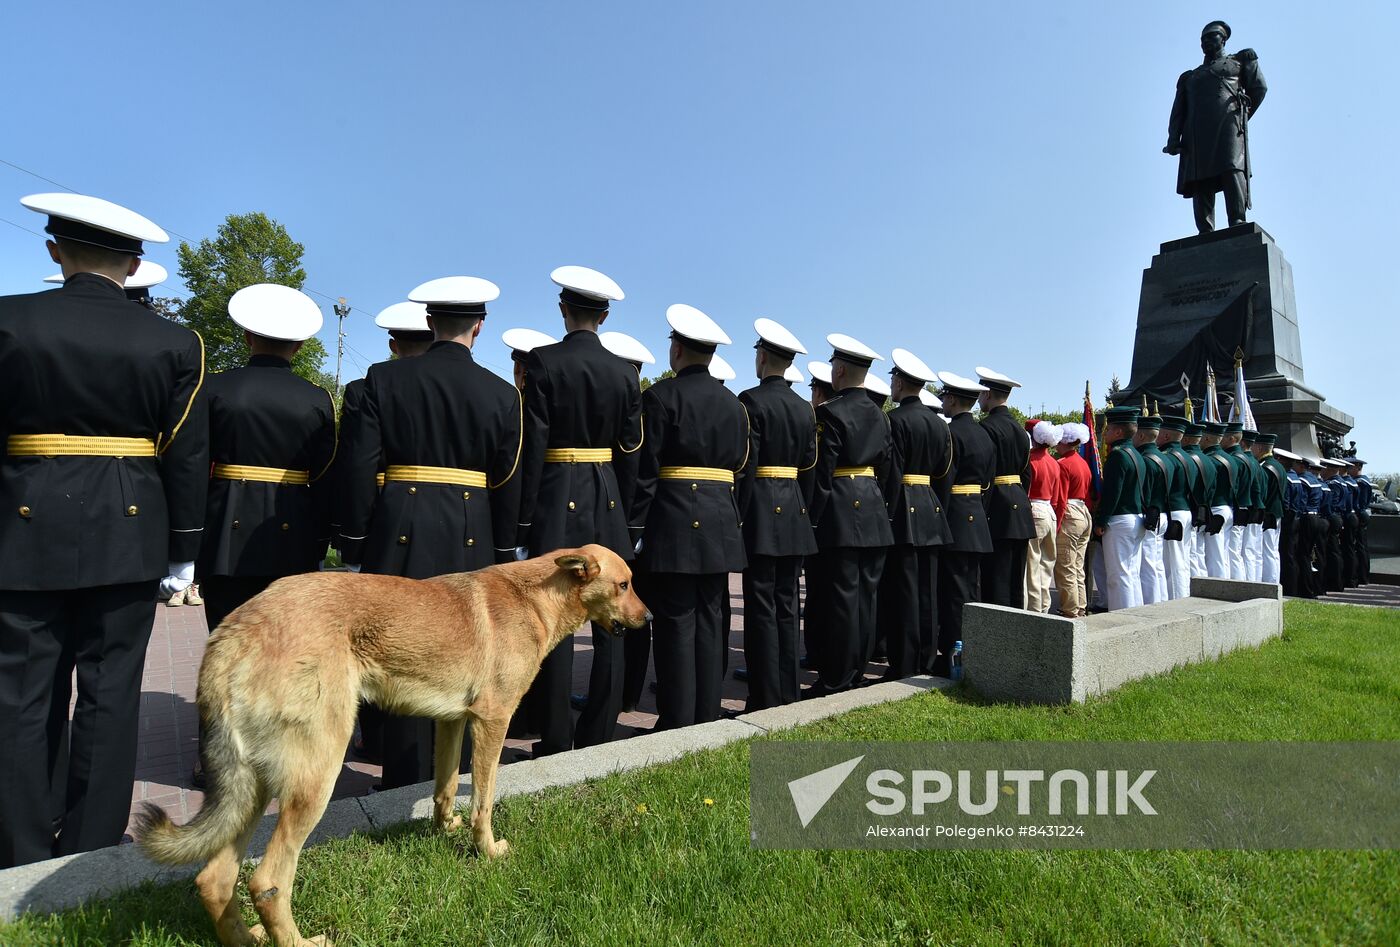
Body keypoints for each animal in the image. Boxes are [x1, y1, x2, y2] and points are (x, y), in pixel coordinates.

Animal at [136, 546, 649, 947]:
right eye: (624, 585)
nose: (649, 619)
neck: (537, 596)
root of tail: (231, 632)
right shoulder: (492, 722)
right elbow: (484, 801)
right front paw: (486, 851)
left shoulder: (453, 722)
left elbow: (446, 788)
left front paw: (444, 830)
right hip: (315, 777)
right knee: (268, 881)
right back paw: (299, 940)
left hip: (254, 788)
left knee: (215, 880)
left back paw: (248, 939)